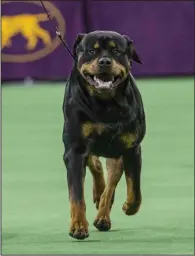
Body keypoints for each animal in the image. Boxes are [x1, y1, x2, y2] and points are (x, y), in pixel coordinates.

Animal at [62, 30, 146, 240]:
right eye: (92, 51)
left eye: (116, 51)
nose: (105, 62)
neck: (106, 103)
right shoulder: (75, 150)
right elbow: (76, 194)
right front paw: (78, 225)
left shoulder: (131, 148)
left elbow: (135, 187)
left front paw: (129, 206)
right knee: (95, 164)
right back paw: (98, 193)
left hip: (116, 153)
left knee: (112, 180)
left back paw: (102, 215)